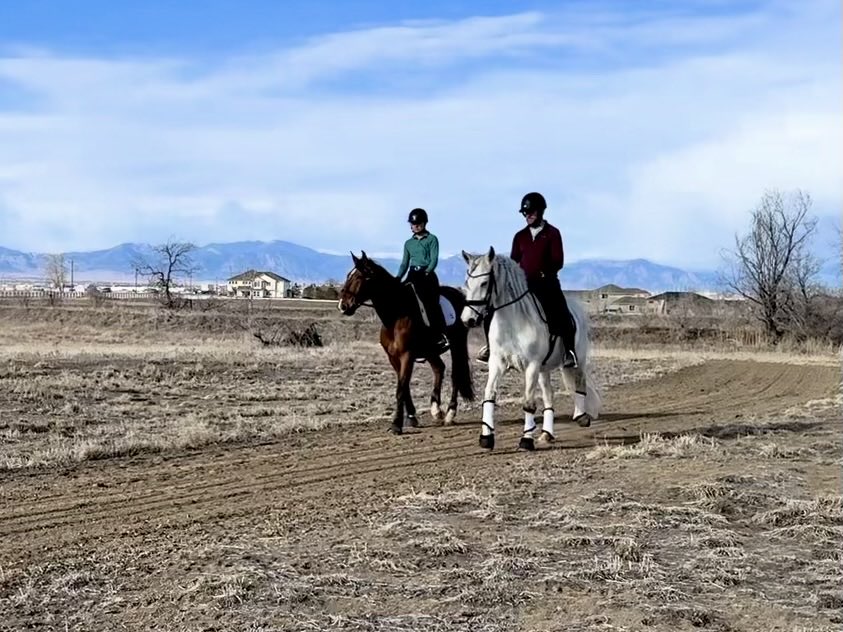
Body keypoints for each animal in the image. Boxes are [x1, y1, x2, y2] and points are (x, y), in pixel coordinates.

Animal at [338, 251, 475, 434]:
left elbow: (401, 389)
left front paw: (396, 424)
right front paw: (411, 418)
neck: (395, 315)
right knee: (439, 369)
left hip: (457, 344)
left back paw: (450, 414)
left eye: (359, 277)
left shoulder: (406, 356)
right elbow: (405, 387)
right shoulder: (393, 358)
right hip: (430, 350)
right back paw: (436, 410)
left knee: (456, 375)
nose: (343, 306)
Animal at [459, 247, 601, 451]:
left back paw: (581, 417)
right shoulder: (497, 363)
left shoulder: (531, 366)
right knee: (549, 396)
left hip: (577, 360)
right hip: (544, 369)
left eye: (485, 283)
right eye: (467, 283)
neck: (512, 321)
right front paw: (486, 437)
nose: (467, 320)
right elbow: (489, 395)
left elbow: (528, 403)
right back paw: (547, 433)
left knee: (580, 382)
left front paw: (526, 440)